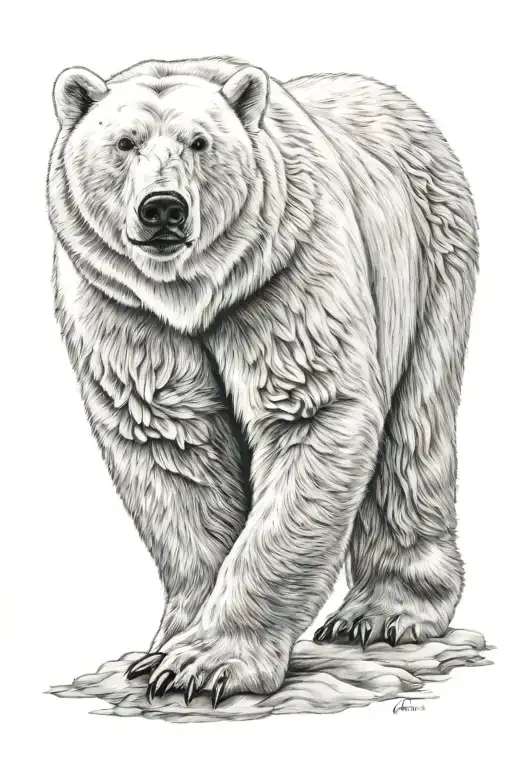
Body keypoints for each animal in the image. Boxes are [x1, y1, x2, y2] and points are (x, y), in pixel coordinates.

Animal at [47, 56, 478, 707]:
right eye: (124, 142)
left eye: (200, 142)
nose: (163, 208)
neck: (193, 294)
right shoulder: (122, 305)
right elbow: (173, 445)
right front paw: (162, 653)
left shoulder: (284, 272)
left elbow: (312, 412)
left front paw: (206, 665)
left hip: (432, 258)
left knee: (414, 429)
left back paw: (382, 614)